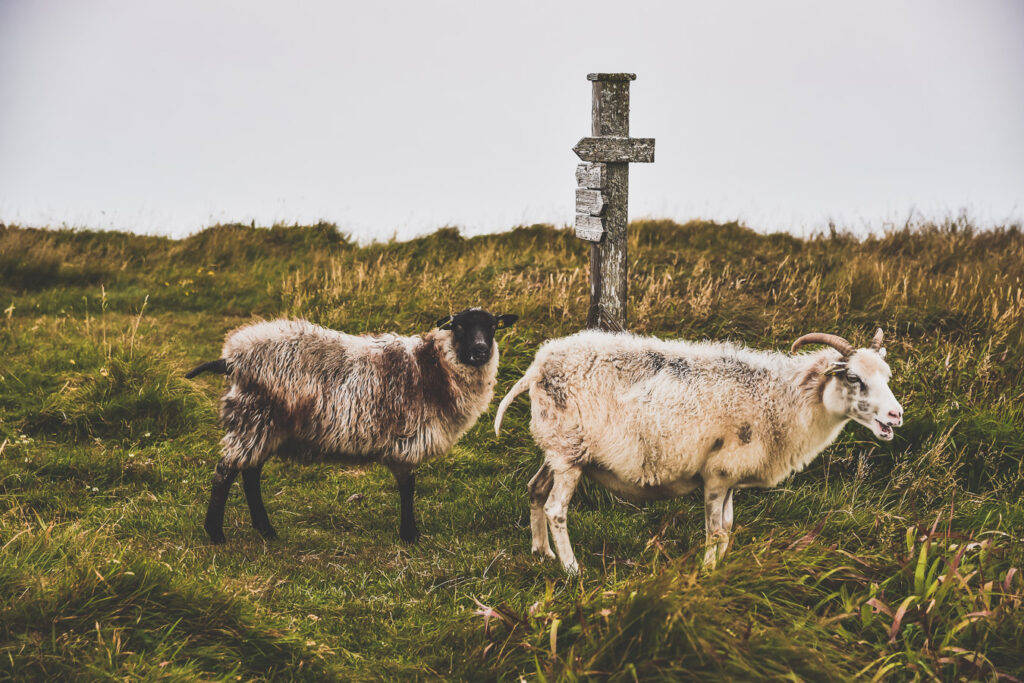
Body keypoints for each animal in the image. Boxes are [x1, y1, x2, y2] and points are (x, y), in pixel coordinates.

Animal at [185, 309, 516, 544]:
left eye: (493, 326)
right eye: (459, 326)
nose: (481, 351)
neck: (435, 367)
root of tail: (232, 358)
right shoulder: (407, 439)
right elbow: (408, 488)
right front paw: (410, 535)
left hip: (266, 426)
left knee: (250, 474)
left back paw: (266, 530)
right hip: (254, 418)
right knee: (226, 471)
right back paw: (215, 533)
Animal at [495, 327, 905, 573]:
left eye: (886, 376)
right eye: (853, 377)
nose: (896, 415)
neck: (784, 398)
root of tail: (537, 366)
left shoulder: (732, 477)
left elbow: (728, 526)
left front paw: (719, 569)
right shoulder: (718, 474)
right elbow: (716, 532)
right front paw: (707, 572)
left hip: (558, 448)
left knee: (535, 489)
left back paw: (541, 552)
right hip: (568, 453)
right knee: (556, 509)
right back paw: (571, 569)